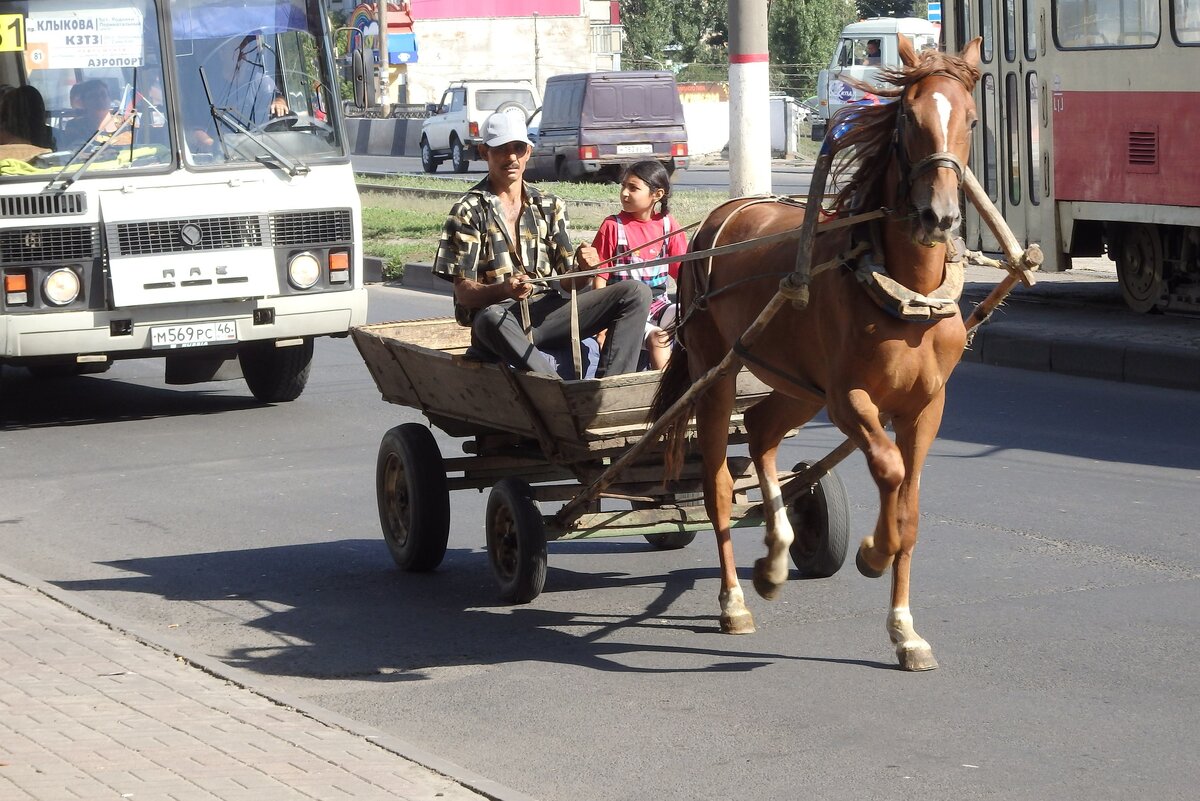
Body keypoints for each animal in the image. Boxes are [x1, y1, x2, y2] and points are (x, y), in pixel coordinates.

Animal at [652, 37, 979, 671]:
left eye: (971, 119)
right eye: (910, 118)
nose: (940, 217)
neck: (906, 295)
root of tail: (717, 218)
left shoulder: (928, 407)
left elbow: (910, 510)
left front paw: (905, 631)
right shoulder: (850, 399)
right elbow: (888, 469)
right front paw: (873, 552)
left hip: (797, 387)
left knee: (760, 429)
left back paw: (777, 555)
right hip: (718, 372)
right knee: (719, 486)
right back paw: (734, 601)